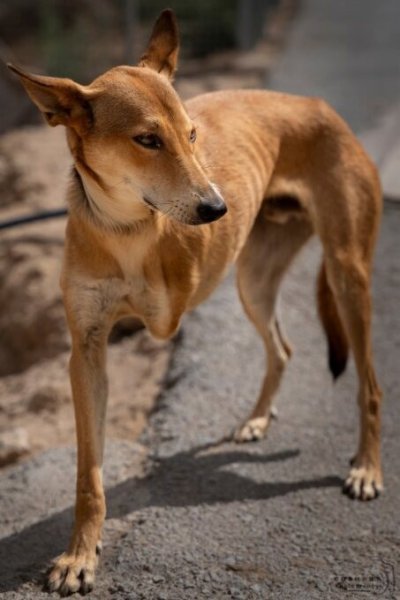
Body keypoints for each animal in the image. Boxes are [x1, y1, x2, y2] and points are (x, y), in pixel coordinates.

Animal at [9, 8, 383, 595]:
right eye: (147, 140)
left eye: (191, 134)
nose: (216, 208)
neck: (126, 228)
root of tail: (321, 107)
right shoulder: (86, 349)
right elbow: (89, 475)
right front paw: (80, 556)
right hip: (254, 283)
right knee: (283, 349)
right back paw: (257, 420)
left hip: (348, 277)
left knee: (370, 385)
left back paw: (366, 469)